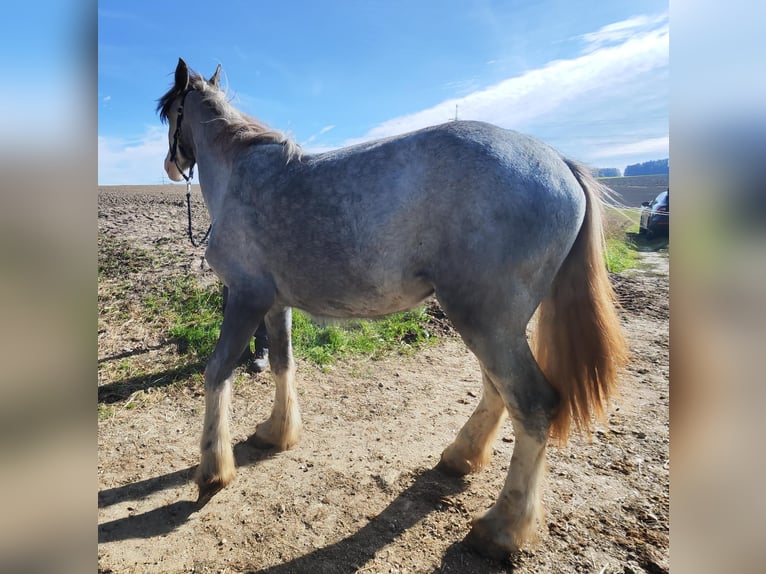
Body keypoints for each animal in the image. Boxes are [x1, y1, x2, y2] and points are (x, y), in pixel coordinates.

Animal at [157, 58, 628, 559]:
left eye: (170, 113)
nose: (170, 164)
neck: (240, 173)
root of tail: (561, 163)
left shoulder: (246, 298)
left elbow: (217, 373)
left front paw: (213, 471)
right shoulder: (276, 303)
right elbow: (284, 364)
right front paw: (277, 433)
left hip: (485, 321)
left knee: (532, 405)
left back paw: (501, 527)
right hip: (495, 324)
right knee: (497, 390)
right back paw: (461, 457)